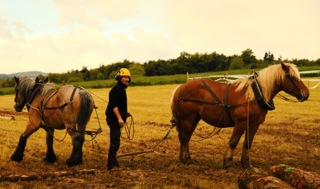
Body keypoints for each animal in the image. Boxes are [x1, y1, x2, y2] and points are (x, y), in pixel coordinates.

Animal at [171, 62, 308, 168]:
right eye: (293, 77)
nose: (306, 94)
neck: (254, 95)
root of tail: (180, 88)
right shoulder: (241, 123)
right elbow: (233, 142)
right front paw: (227, 162)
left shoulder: (254, 124)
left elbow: (247, 144)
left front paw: (246, 164)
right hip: (187, 118)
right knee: (184, 138)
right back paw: (185, 160)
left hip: (195, 118)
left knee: (185, 138)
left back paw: (185, 158)